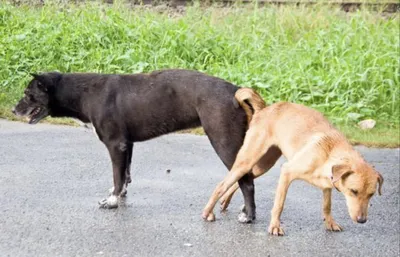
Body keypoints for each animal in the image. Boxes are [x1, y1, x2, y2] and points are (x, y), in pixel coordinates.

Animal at [13, 69, 256, 221]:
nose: (14, 110)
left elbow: (116, 175)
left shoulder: (115, 144)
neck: (85, 93)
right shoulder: (126, 144)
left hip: (224, 142)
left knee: (247, 182)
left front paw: (111, 201)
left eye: (28, 94)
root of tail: (235, 91)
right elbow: (124, 174)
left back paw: (249, 216)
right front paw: (120, 194)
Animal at [203, 87, 384, 234]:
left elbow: (327, 206)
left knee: (241, 180)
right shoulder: (287, 171)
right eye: (353, 191)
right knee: (222, 184)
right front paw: (275, 226)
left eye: (371, 194)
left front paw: (330, 223)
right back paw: (208, 212)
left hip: (262, 165)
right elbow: (279, 204)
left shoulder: (327, 185)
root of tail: (265, 109)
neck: (329, 153)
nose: (362, 220)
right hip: (247, 159)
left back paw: (225, 201)